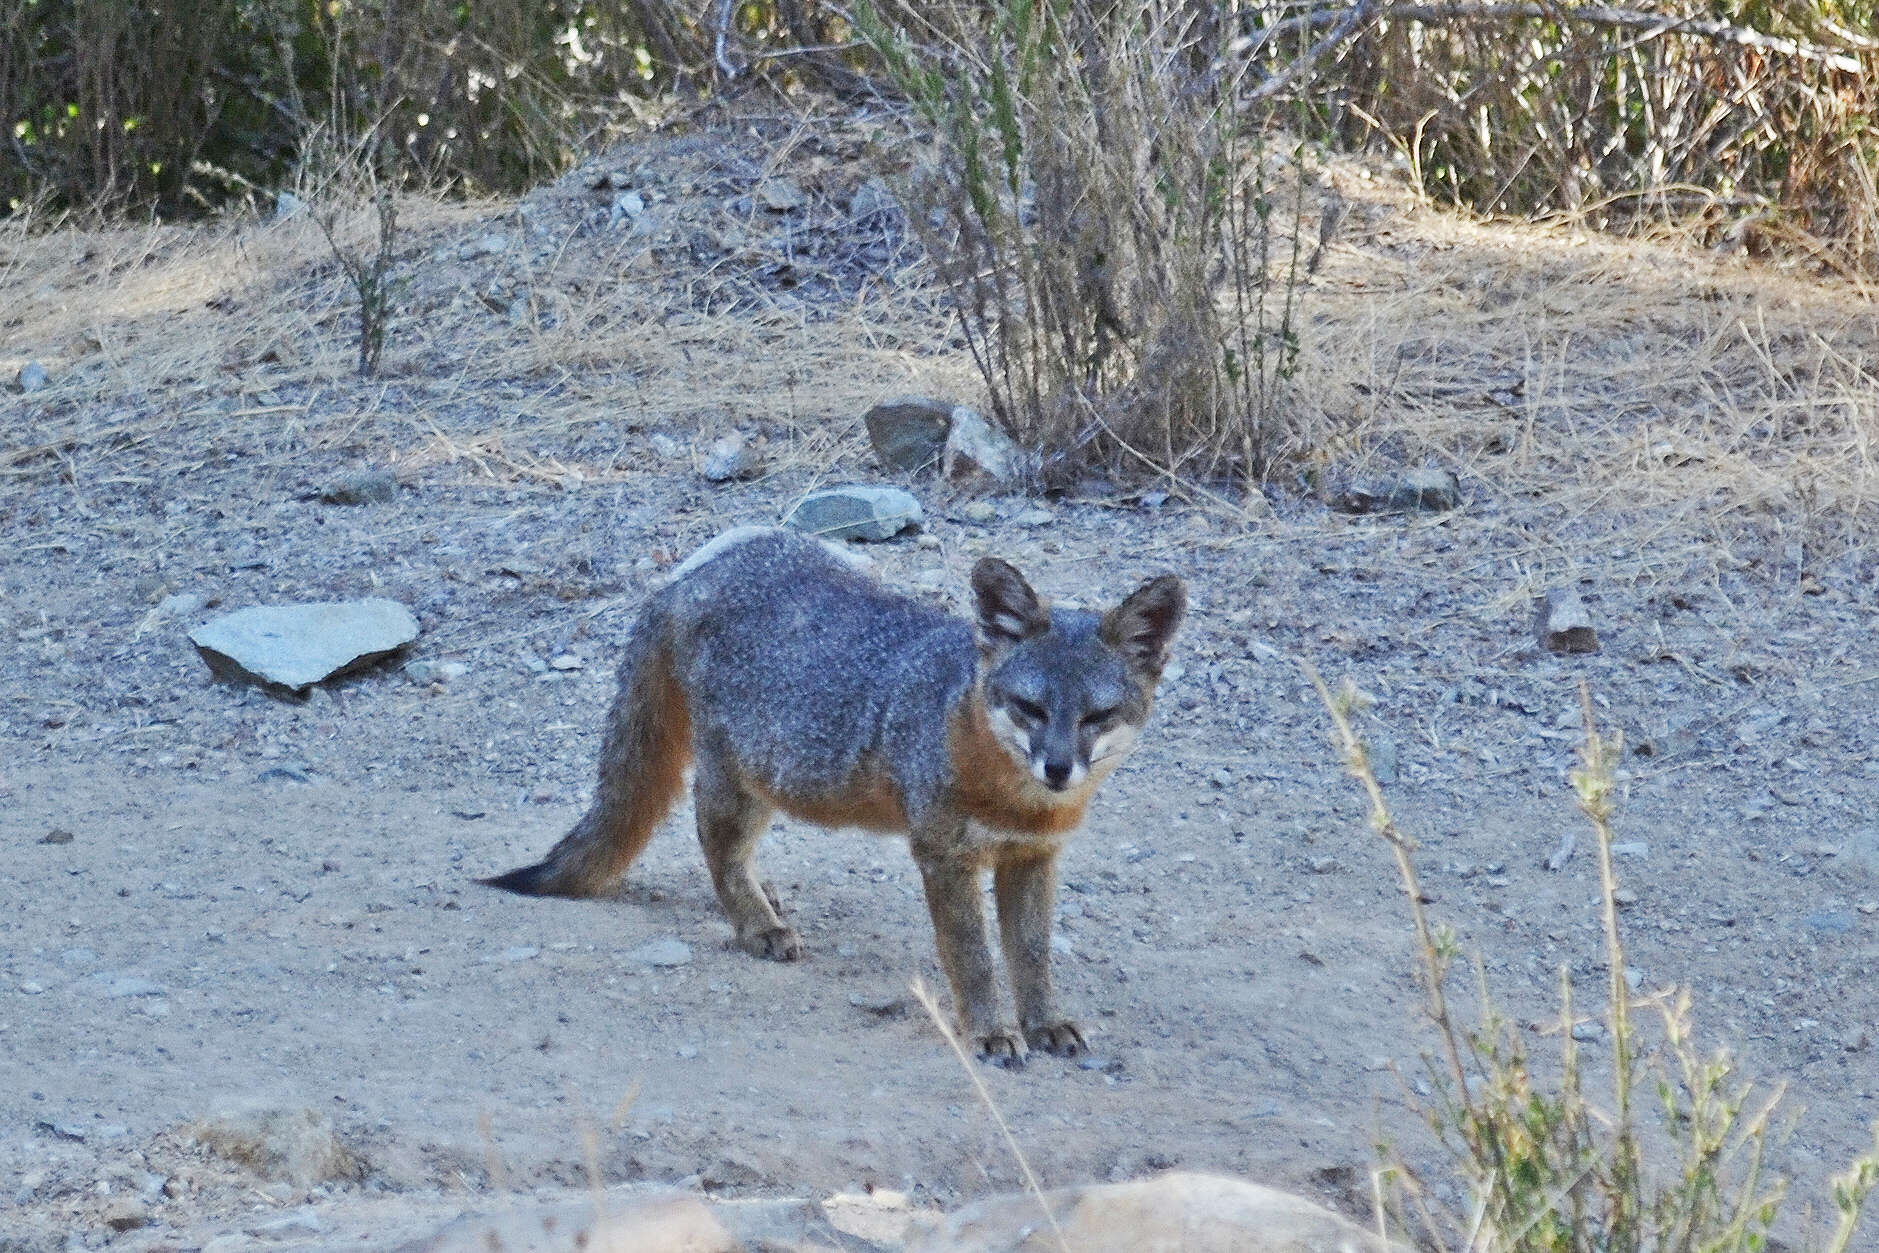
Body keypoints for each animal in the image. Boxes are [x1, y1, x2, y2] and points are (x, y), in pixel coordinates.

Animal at [484, 525, 1187, 1067]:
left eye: (1097, 716)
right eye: (1031, 708)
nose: (1059, 768)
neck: (1016, 801)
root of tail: (692, 570)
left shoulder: (1032, 858)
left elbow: (1033, 956)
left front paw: (1044, 1023)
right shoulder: (945, 857)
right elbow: (973, 958)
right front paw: (991, 1031)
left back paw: (765, 900)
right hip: (745, 782)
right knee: (716, 846)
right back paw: (756, 924)